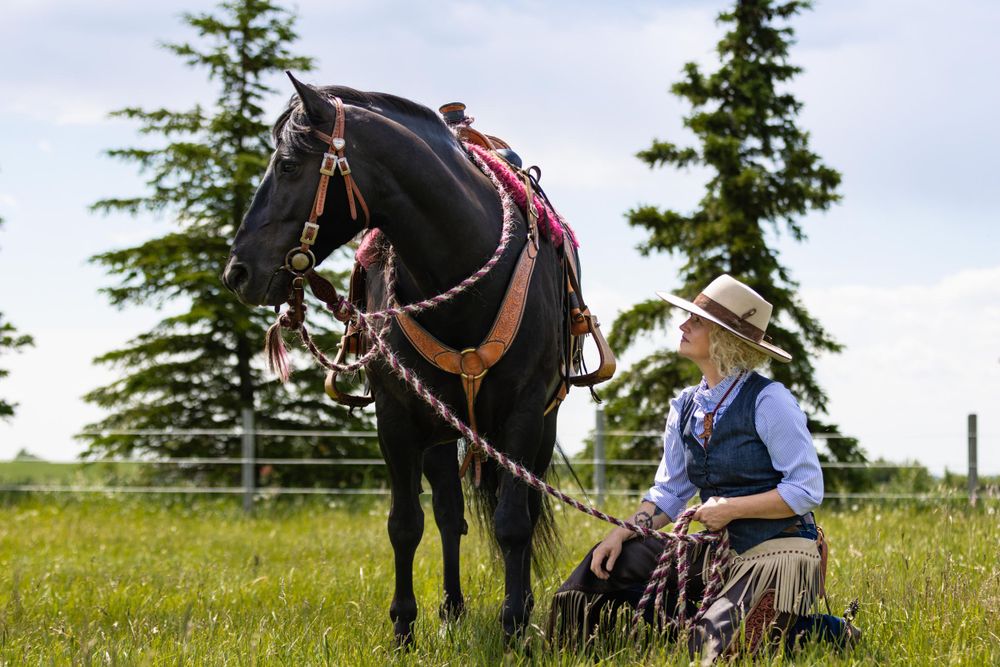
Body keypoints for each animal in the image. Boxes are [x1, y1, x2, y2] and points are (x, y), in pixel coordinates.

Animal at [223, 76, 579, 645]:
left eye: (288, 165)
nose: (237, 271)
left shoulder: (523, 417)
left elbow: (513, 523)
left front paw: (514, 628)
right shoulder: (398, 419)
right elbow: (405, 524)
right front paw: (404, 629)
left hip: (536, 431)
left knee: (518, 506)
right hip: (441, 432)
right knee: (450, 512)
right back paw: (452, 609)